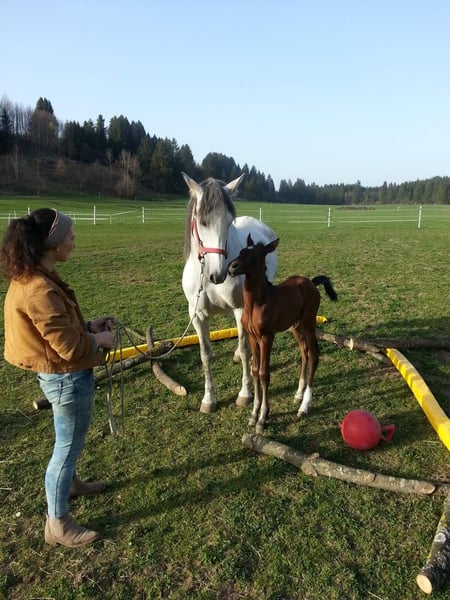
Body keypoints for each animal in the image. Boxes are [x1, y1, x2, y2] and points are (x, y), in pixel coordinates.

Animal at [182, 173, 278, 414]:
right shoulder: (197, 317)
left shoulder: (240, 309)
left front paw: (245, 394)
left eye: (228, 221)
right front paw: (208, 399)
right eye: (202, 221)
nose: (219, 274)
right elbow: (205, 356)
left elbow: (245, 350)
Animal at [227, 234, 337, 433]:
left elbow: (264, 373)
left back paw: (304, 406)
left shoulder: (267, 337)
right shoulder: (253, 338)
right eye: (241, 251)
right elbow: (255, 371)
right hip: (295, 327)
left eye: (255, 256)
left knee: (314, 354)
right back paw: (299, 394)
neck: (257, 304)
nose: (232, 267)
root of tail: (311, 282)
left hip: (309, 324)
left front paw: (263, 418)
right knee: (304, 353)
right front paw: (253, 415)